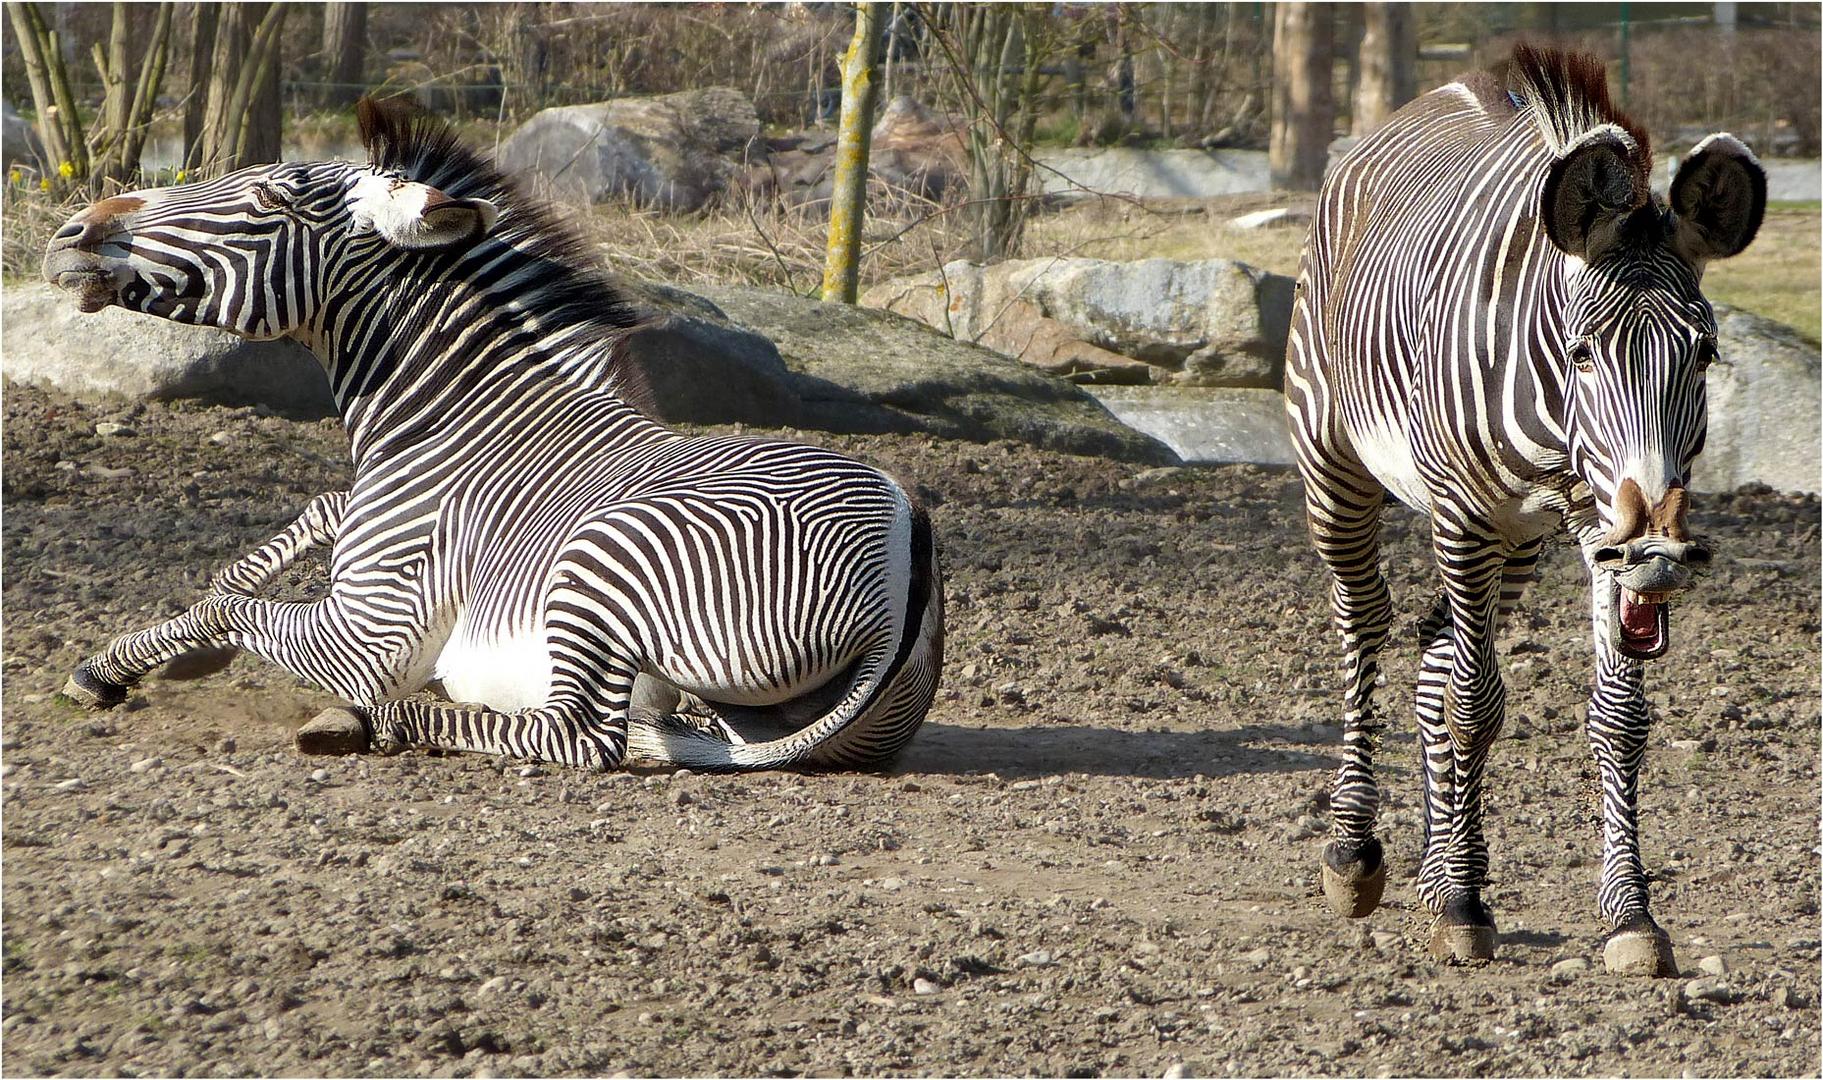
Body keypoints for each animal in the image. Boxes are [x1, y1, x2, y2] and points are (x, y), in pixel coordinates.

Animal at [44, 101, 947, 773]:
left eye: (272, 199)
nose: (67, 233)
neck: (448, 422)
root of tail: (903, 542)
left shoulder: (373, 633)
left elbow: (233, 607)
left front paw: (159, 660)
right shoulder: (354, 525)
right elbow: (290, 532)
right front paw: (125, 660)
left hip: (600, 559)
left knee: (579, 736)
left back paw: (375, 720)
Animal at [1283, 48, 1764, 977]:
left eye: (1704, 353)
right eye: (1580, 353)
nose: (1657, 554)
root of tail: (1431, 97)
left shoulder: (1594, 526)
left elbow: (1618, 719)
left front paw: (1629, 916)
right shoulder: (1465, 513)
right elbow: (1475, 705)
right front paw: (1467, 909)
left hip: (1516, 541)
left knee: (1432, 654)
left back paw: (1433, 867)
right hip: (1337, 463)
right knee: (1364, 622)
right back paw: (1354, 853)